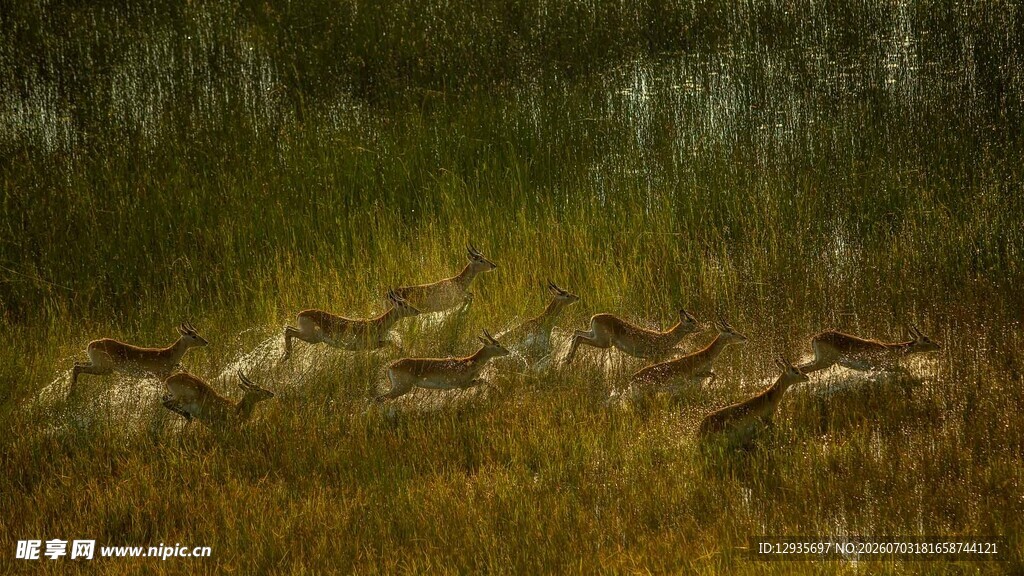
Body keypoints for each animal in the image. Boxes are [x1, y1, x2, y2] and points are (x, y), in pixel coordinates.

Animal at [71, 322, 208, 388]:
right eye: (193, 336)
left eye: (197, 332)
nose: (206, 342)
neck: (168, 354)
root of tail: (91, 344)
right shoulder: (162, 376)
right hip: (104, 369)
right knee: (77, 367)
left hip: (95, 365)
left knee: (76, 364)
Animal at [282, 289, 421, 359]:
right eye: (404, 304)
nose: (417, 310)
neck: (377, 324)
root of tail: (300, 314)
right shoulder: (368, 344)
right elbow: (390, 342)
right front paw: (405, 353)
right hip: (312, 337)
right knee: (288, 330)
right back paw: (288, 355)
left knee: (288, 328)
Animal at [377, 329, 510, 401]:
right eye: (497, 345)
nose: (507, 351)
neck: (469, 362)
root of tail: (390, 367)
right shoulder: (463, 385)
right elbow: (483, 380)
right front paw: (499, 392)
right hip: (401, 387)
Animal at [564, 307, 700, 365]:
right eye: (692, 321)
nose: (700, 328)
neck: (666, 338)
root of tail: (594, 317)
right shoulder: (654, 356)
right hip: (604, 342)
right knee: (579, 337)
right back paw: (568, 360)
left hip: (594, 334)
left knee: (576, 332)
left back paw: (565, 358)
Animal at [797, 324, 941, 374]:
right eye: (926, 339)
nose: (938, 345)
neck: (890, 348)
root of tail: (815, 337)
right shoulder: (883, 366)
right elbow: (905, 370)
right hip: (825, 362)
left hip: (818, 360)